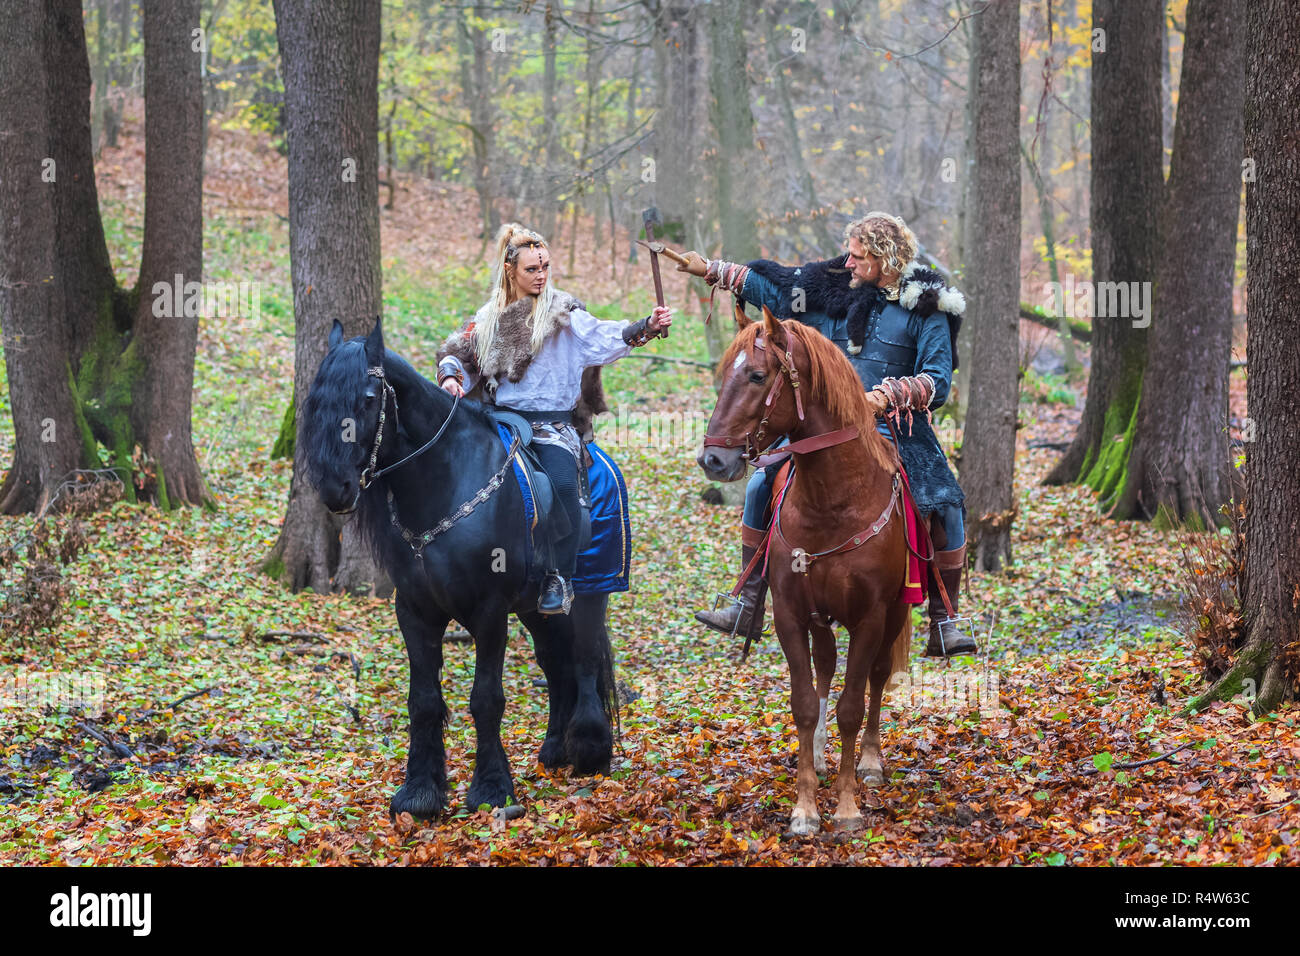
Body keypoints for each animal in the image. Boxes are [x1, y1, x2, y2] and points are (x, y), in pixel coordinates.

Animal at [301, 317, 616, 816]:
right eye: (316, 400)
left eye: (367, 399)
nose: (335, 488)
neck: (444, 482)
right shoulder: (414, 611)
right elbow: (424, 700)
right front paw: (420, 792)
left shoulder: (488, 612)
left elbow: (486, 699)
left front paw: (490, 788)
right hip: (535, 608)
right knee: (555, 662)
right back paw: (554, 749)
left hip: (589, 592)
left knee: (584, 658)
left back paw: (589, 751)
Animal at [702, 308, 904, 837]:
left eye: (756, 375)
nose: (713, 459)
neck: (834, 502)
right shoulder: (792, 615)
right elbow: (806, 703)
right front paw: (806, 807)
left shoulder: (871, 617)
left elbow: (852, 706)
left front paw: (848, 807)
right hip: (821, 619)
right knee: (825, 668)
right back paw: (819, 754)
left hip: (896, 612)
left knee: (876, 677)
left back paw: (870, 762)